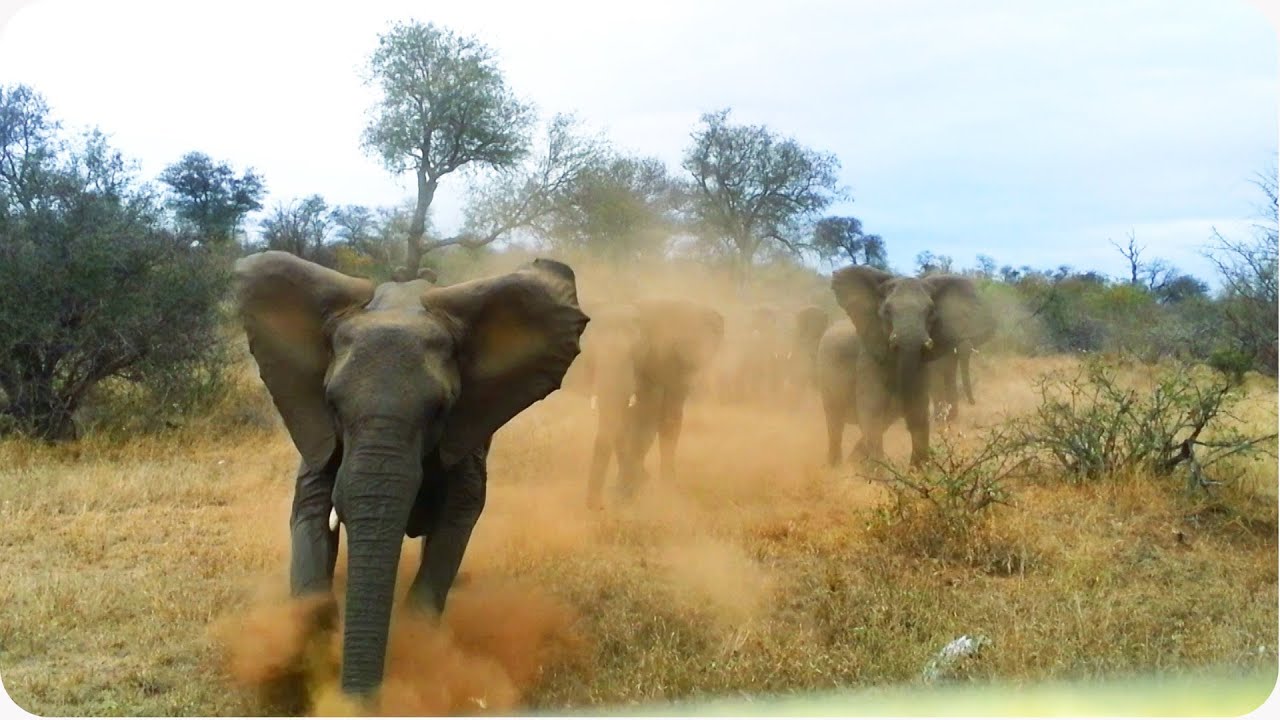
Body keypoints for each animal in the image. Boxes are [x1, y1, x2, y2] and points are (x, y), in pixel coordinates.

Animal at [236, 251, 588, 702]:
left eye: (440, 409)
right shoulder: (315, 429)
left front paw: (416, 651)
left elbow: (457, 519)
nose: (360, 703)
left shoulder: (465, 433)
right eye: (332, 404)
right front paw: (306, 653)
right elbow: (311, 510)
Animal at [578, 297, 727, 504]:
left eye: (635, 352)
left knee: (669, 420)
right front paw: (631, 487)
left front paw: (627, 492)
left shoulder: (652, 362)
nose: (597, 507)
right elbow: (622, 422)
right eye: (589, 352)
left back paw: (668, 491)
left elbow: (645, 417)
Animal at [824, 265, 993, 466]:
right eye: (887, 311)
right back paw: (836, 467)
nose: (973, 403)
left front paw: (920, 470)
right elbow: (871, 415)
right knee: (835, 424)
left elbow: (918, 414)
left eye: (931, 312)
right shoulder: (868, 360)